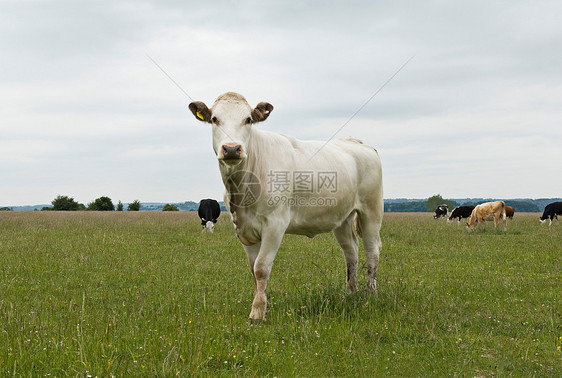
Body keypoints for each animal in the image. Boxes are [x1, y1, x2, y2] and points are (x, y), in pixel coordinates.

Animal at [188, 92, 380, 322]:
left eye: (248, 119)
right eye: (215, 119)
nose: (232, 148)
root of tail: (355, 141)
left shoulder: (275, 224)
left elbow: (261, 268)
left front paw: (257, 313)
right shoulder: (243, 228)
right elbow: (253, 270)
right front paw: (260, 306)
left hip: (371, 210)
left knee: (372, 250)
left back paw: (370, 294)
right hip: (342, 217)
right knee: (351, 251)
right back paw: (351, 292)